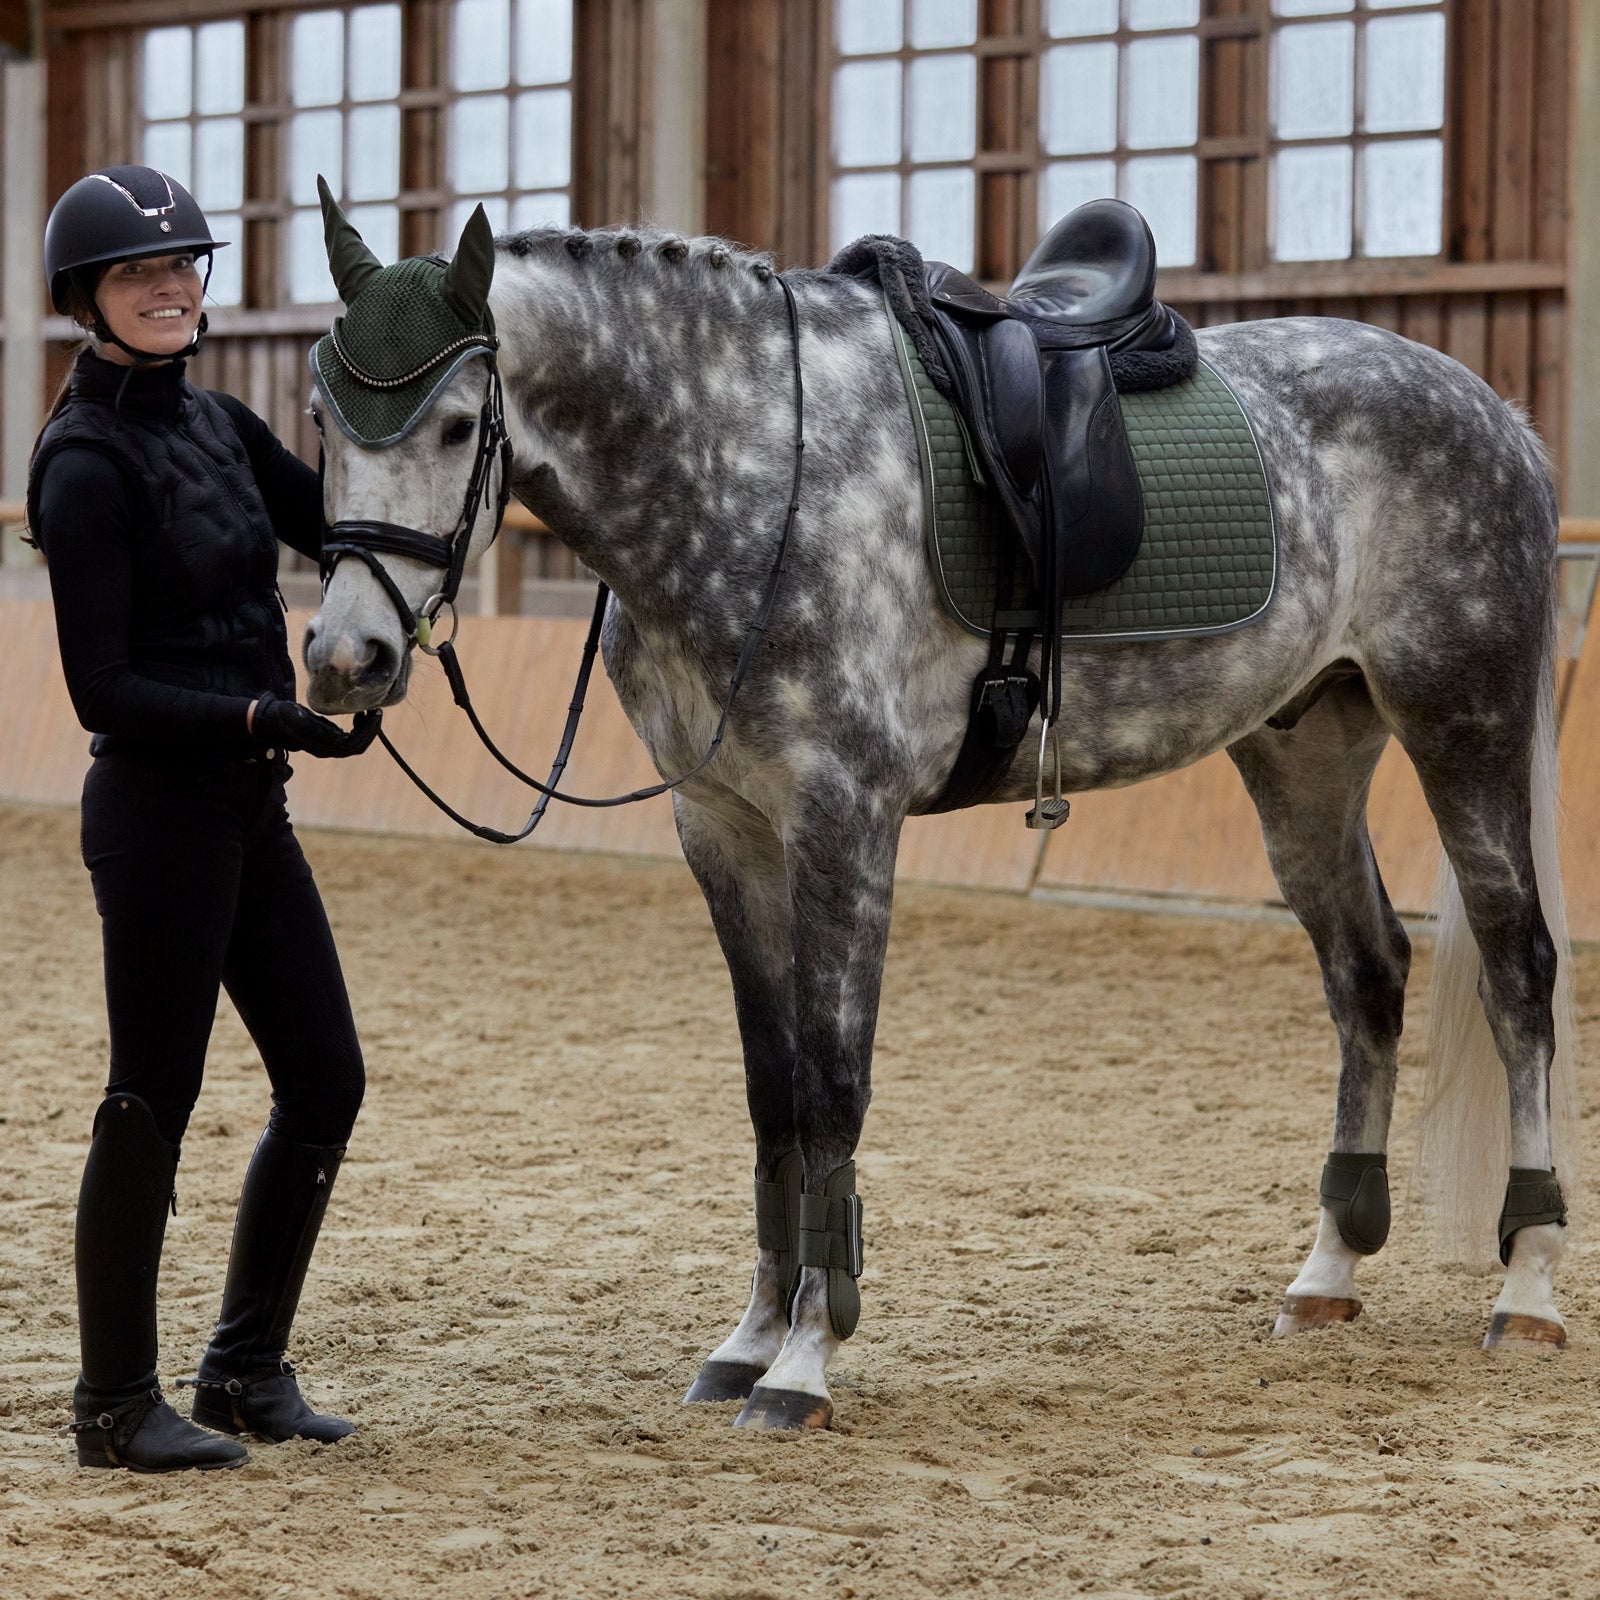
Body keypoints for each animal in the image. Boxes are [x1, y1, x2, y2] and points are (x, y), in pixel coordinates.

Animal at [301, 191, 1576, 1431]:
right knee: (1366, 975)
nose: (345, 658)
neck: (751, 462)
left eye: (455, 423)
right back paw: (1326, 1275)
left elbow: (831, 1087)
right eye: (322, 420)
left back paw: (1527, 1287)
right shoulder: (722, 829)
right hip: (1303, 749)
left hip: (1463, 726)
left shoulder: (842, 821)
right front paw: (748, 1340)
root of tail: (1493, 411)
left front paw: (804, 1360)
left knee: (1516, 973)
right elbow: (771, 1094)